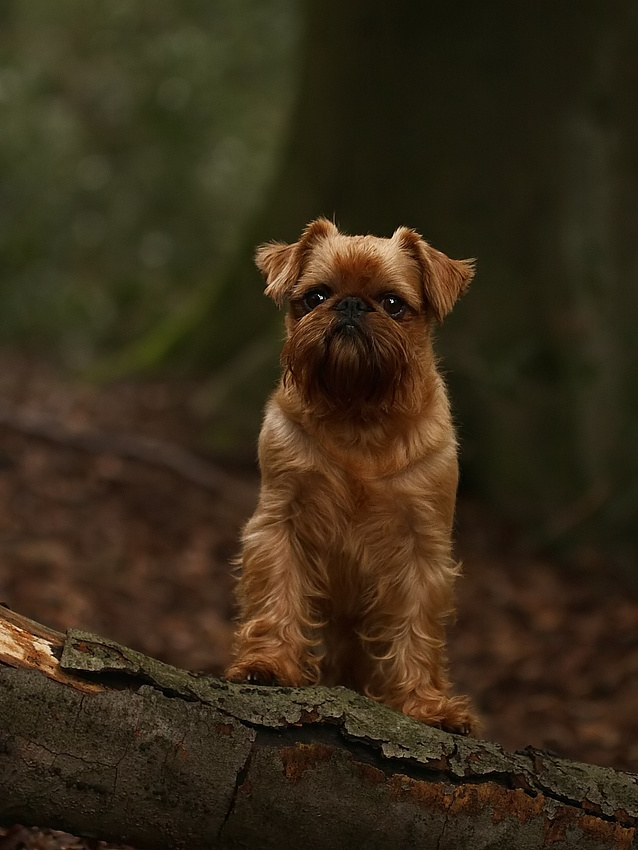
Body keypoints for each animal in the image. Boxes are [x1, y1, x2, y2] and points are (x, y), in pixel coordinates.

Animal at [226, 220, 480, 736]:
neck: (358, 414)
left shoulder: (422, 548)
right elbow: (278, 594)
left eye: (393, 303)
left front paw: (427, 708)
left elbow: (417, 629)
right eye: (316, 296)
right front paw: (268, 665)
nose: (350, 305)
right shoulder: (281, 524)